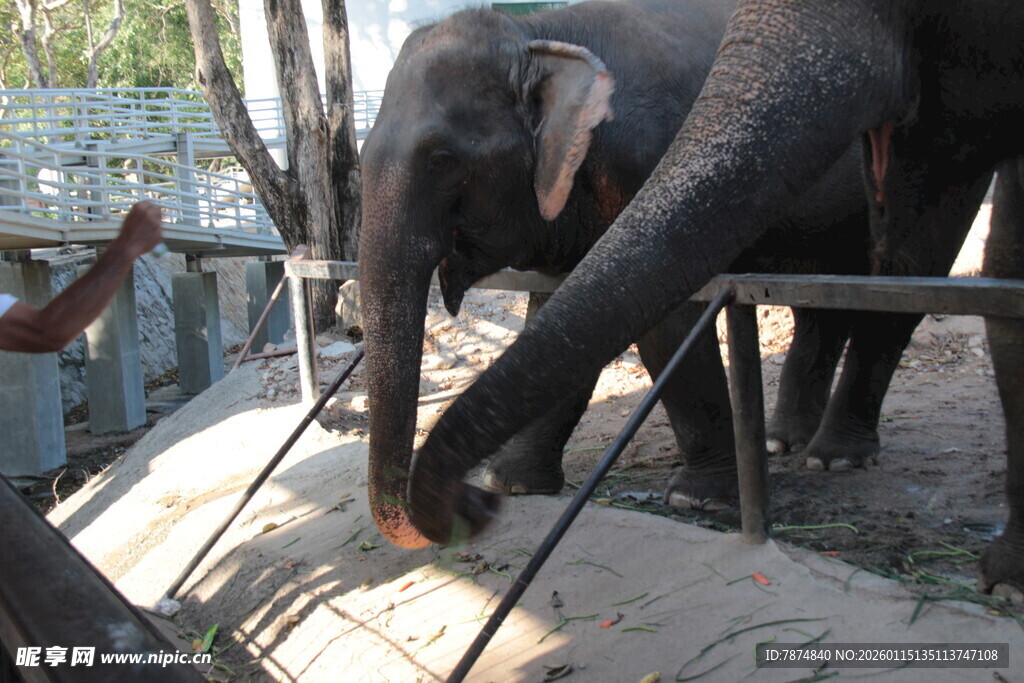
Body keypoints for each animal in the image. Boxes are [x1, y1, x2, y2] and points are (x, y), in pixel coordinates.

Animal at [404, 0, 1024, 602]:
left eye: (442, 161)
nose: (472, 509)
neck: (541, 28)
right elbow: (556, 312)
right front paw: (512, 485)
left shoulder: (640, 157)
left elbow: (666, 324)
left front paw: (694, 503)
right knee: (820, 304)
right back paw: (783, 442)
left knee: (901, 286)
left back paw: (835, 457)